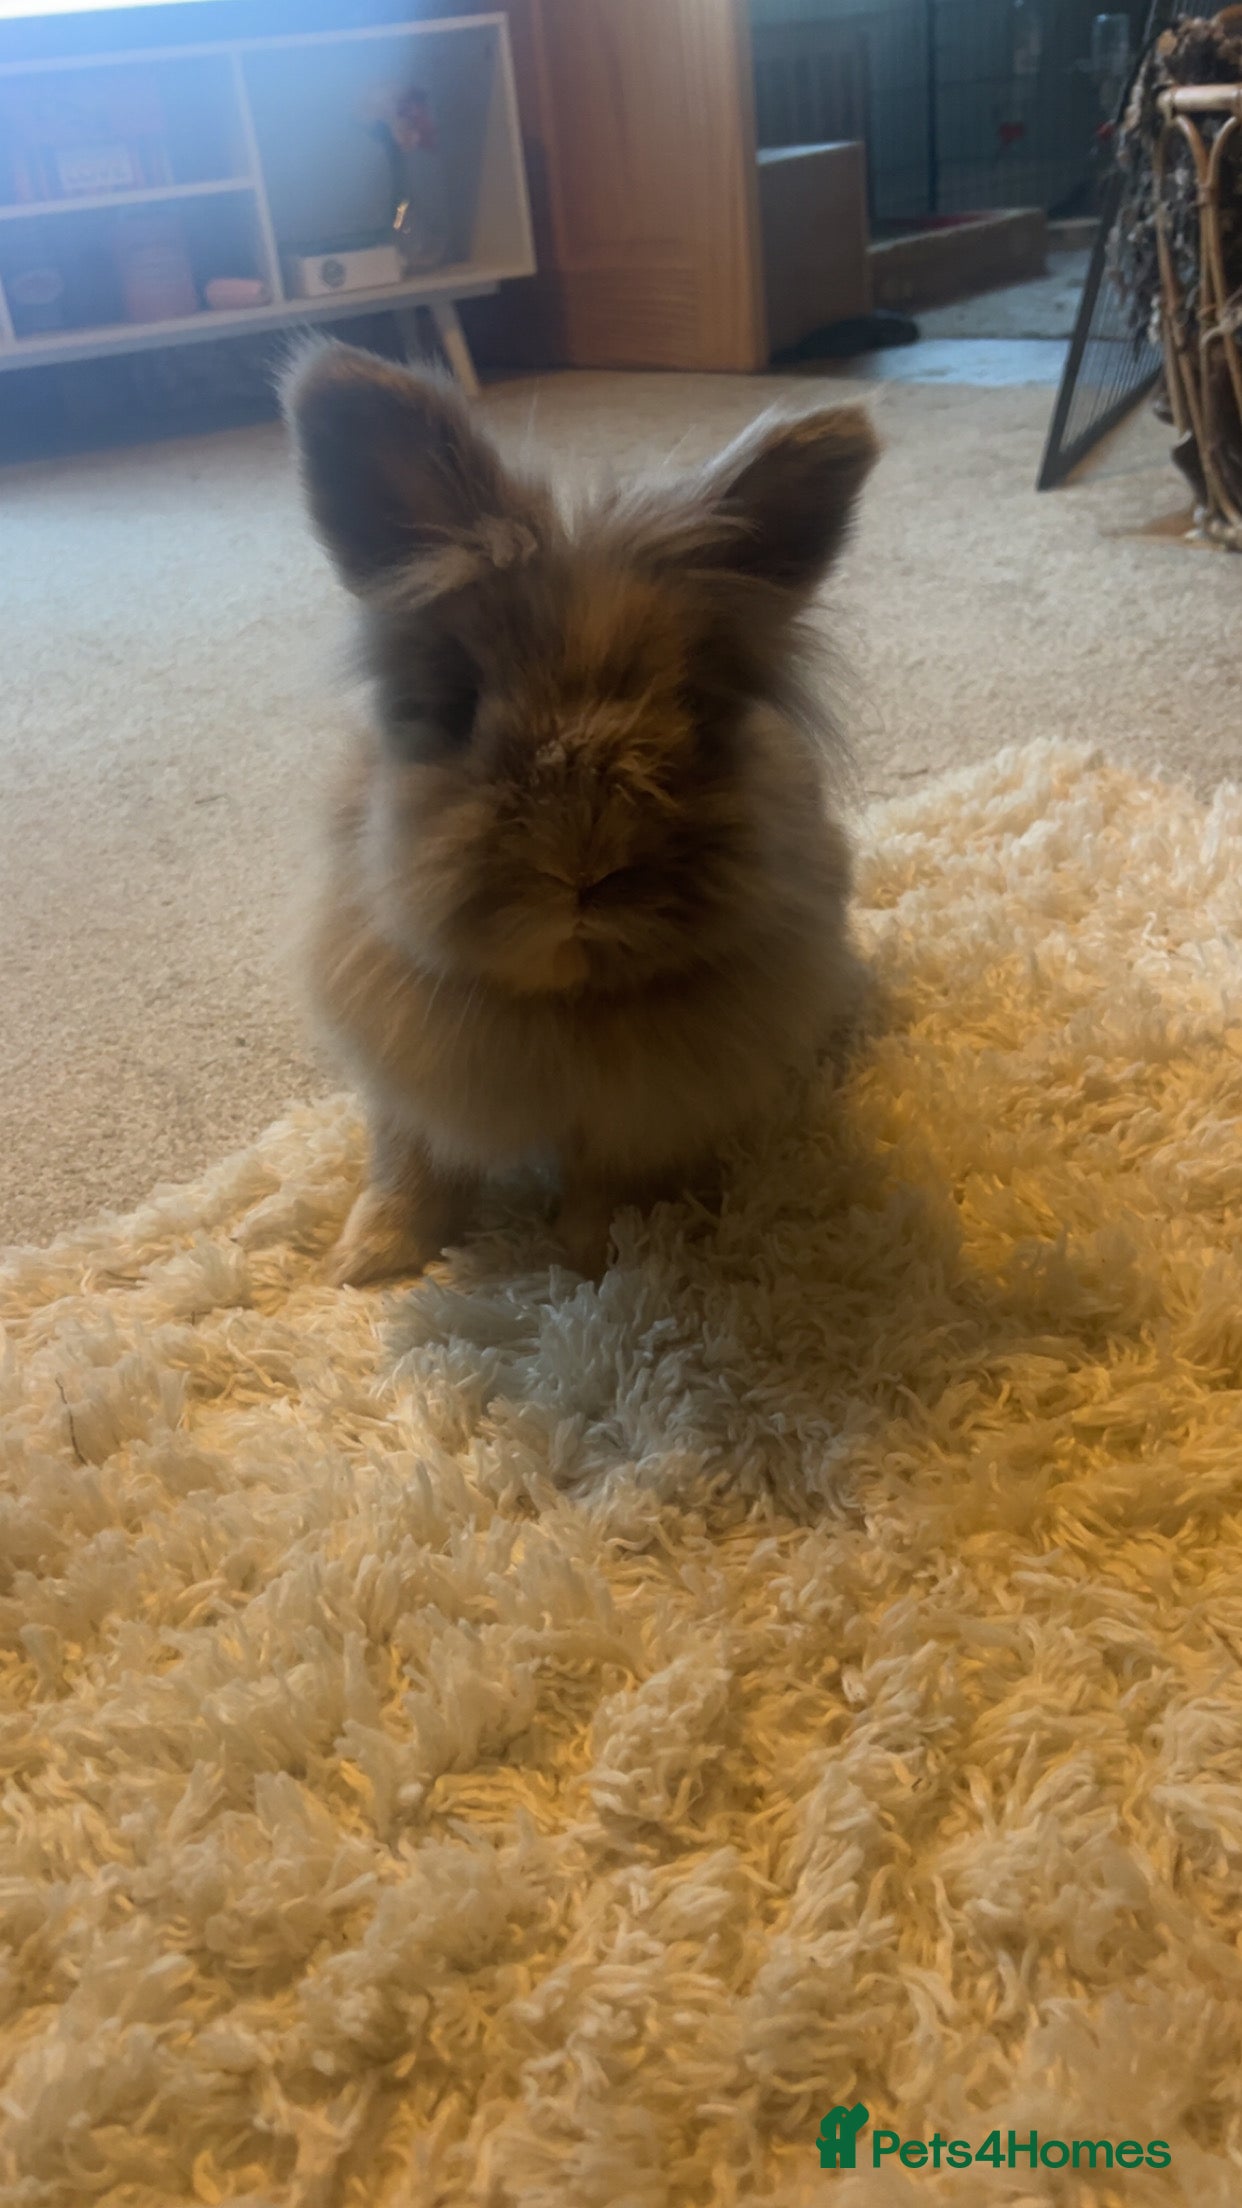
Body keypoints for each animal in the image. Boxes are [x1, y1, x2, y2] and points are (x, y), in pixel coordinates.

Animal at [282, 341, 878, 1285]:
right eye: (458, 703)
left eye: (697, 706)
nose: (583, 870)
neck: (561, 1002)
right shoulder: (403, 1073)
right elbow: (409, 1164)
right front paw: (367, 1262)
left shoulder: (648, 1107)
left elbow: (610, 1185)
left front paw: (591, 1266)